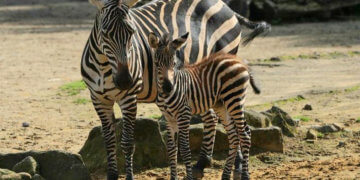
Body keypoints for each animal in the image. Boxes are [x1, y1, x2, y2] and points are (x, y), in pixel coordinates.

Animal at [148, 32, 260, 180]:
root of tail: (238, 61)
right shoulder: (169, 117)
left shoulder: (184, 114)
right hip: (221, 106)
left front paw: (189, 176)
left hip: (234, 100)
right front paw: (173, 177)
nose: (168, 87)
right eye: (156, 64)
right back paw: (225, 175)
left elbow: (184, 148)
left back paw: (245, 175)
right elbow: (171, 148)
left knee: (244, 134)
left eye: (174, 64)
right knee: (234, 137)